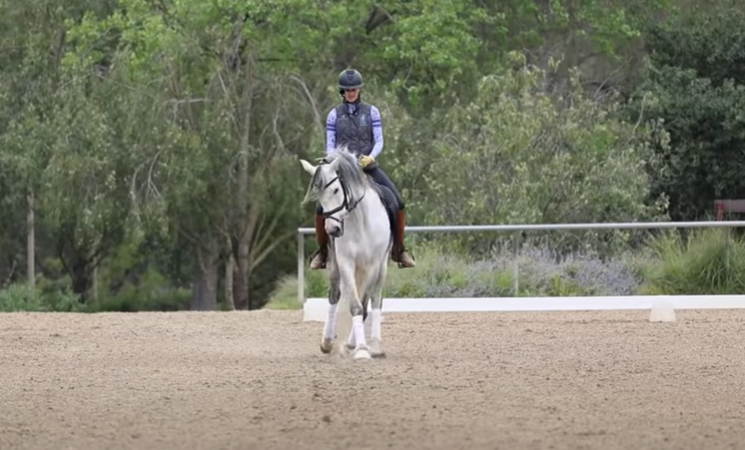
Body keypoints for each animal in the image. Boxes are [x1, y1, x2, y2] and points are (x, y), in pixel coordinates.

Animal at [299, 145, 394, 360]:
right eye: (318, 195)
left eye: (336, 189)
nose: (333, 230)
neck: (360, 220)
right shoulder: (346, 262)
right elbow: (355, 305)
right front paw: (360, 348)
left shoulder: (373, 263)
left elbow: (365, 303)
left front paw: (363, 348)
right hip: (335, 264)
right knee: (335, 294)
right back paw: (328, 342)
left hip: (382, 266)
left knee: (376, 298)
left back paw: (374, 345)